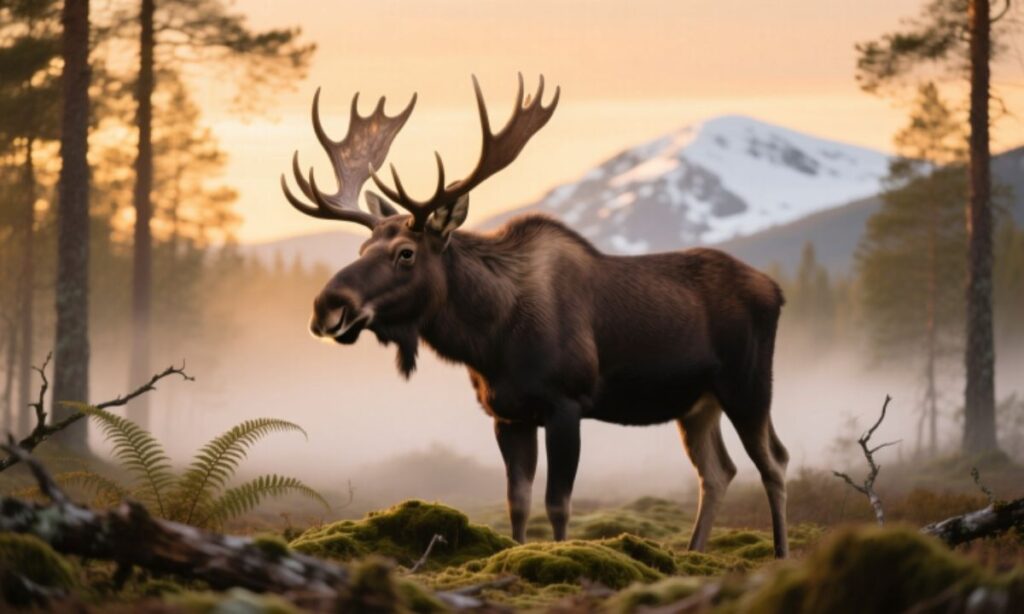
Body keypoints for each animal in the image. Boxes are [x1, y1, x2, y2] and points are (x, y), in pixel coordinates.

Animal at [281, 75, 791, 558]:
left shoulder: (567, 404)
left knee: (774, 460)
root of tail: (777, 290)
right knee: (718, 471)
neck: (491, 340)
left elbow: (557, 504)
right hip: (697, 402)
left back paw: (780, 554)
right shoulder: (508, 414)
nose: (327, 307)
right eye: (362, 248)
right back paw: (695, 551)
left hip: (747, 383)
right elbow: (519, 502)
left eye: (406, 252)